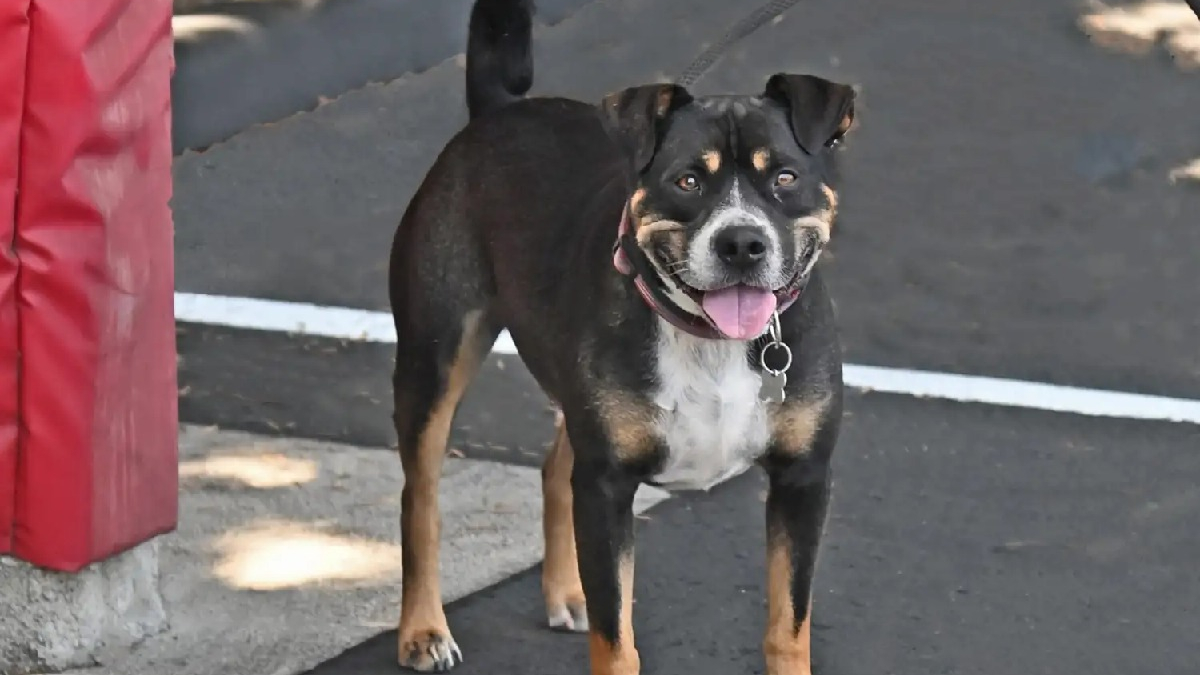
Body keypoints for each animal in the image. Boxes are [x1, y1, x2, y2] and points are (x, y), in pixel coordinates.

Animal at [388, 0, 859, 667]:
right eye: (687, 181)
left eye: (786, 178)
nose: (742, 243)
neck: (709, 339)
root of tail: (497, 111)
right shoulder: (607, 487)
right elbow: (617, 643)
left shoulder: (803, 479)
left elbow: (788, 628)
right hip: (434, 357)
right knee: (420, 498)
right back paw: (423, 629)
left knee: (553, 468)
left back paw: (567, 592)